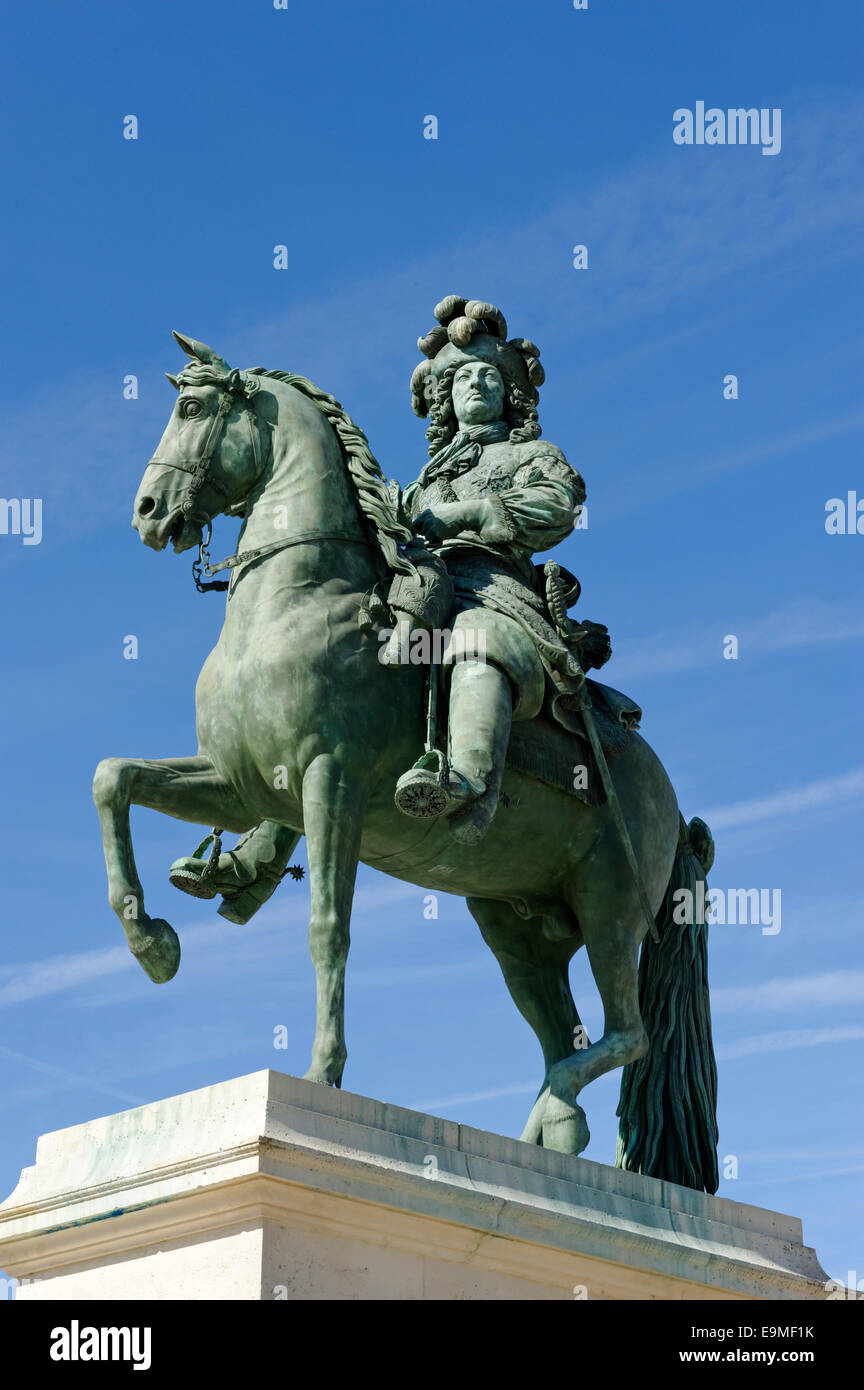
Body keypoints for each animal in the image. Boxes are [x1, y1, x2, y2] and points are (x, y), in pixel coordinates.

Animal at [93, 330, 722, 1189]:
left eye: (191, 408)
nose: (149, 513)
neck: (297, 601)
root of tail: (670, 797)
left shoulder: (332, 782)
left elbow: (329, 928)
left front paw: (322, 1073)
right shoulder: (241, 787)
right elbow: (113, 778)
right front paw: (153, 941)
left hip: (610, 906)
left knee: (629, 1034)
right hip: (517, 928)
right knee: (567, 1032)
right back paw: (549, 1136)